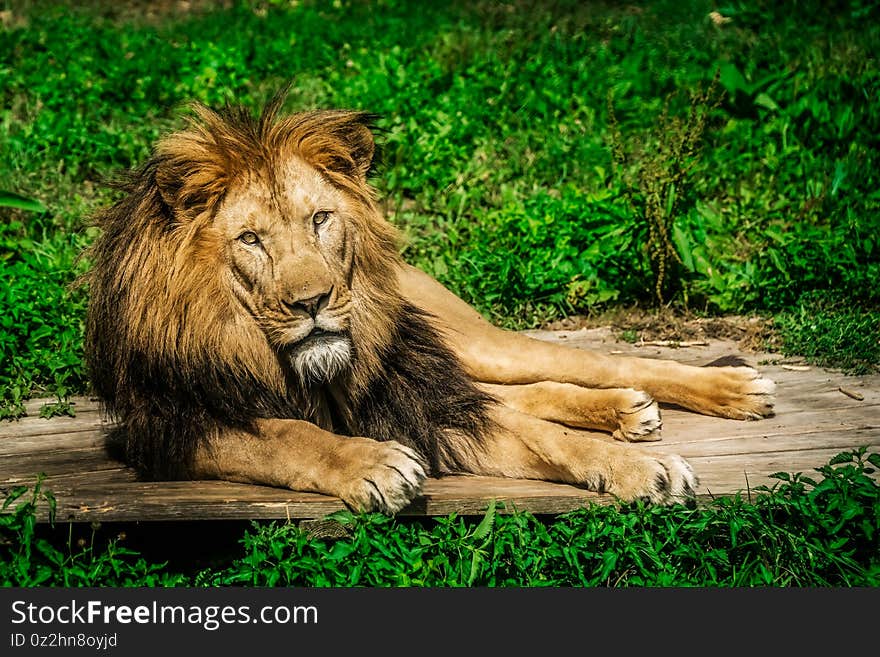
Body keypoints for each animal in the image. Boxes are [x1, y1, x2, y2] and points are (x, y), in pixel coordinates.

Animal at [81, 93, 768, 512]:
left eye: (321, 219)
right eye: (250, 239)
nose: (313, 301)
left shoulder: (425, 401)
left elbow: (549, 440)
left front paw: (641, 470)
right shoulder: (168, 426)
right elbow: (287, 435)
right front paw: (374, 464)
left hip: (471, 342)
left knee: (588, 364)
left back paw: (729, 391)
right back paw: (627, 409)